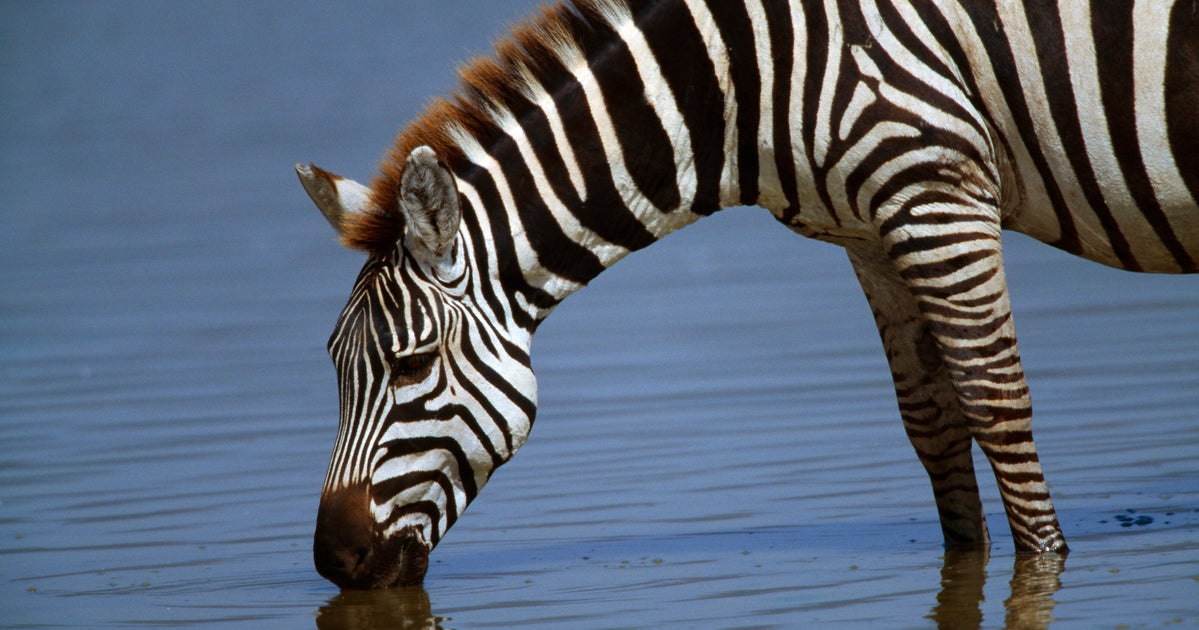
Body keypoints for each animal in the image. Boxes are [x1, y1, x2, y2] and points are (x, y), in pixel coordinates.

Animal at [296, 0, 1198, 588]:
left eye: (410, 367)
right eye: (334, 368)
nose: (332, 563)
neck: (745, 81)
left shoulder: (934, 190)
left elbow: (992, 399)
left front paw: (1045, 562)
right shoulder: (872, 233)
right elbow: (930, 421)